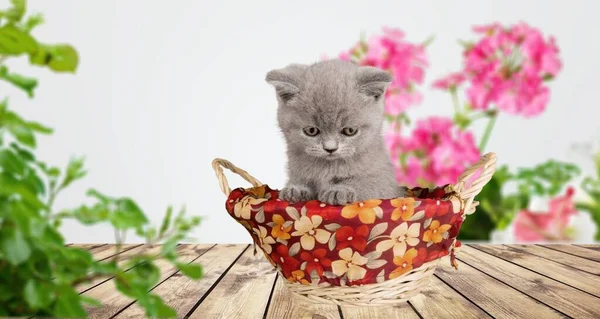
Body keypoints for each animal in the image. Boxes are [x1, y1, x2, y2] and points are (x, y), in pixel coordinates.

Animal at [264, 59, 406, 206]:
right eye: (311, 131)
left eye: (350, 131)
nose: (330, 148)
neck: (328, 167)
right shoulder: (296, 171)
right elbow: (302, 181)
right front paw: (296, 189)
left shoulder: (385, 182)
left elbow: (365, 183)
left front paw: (339, 190)